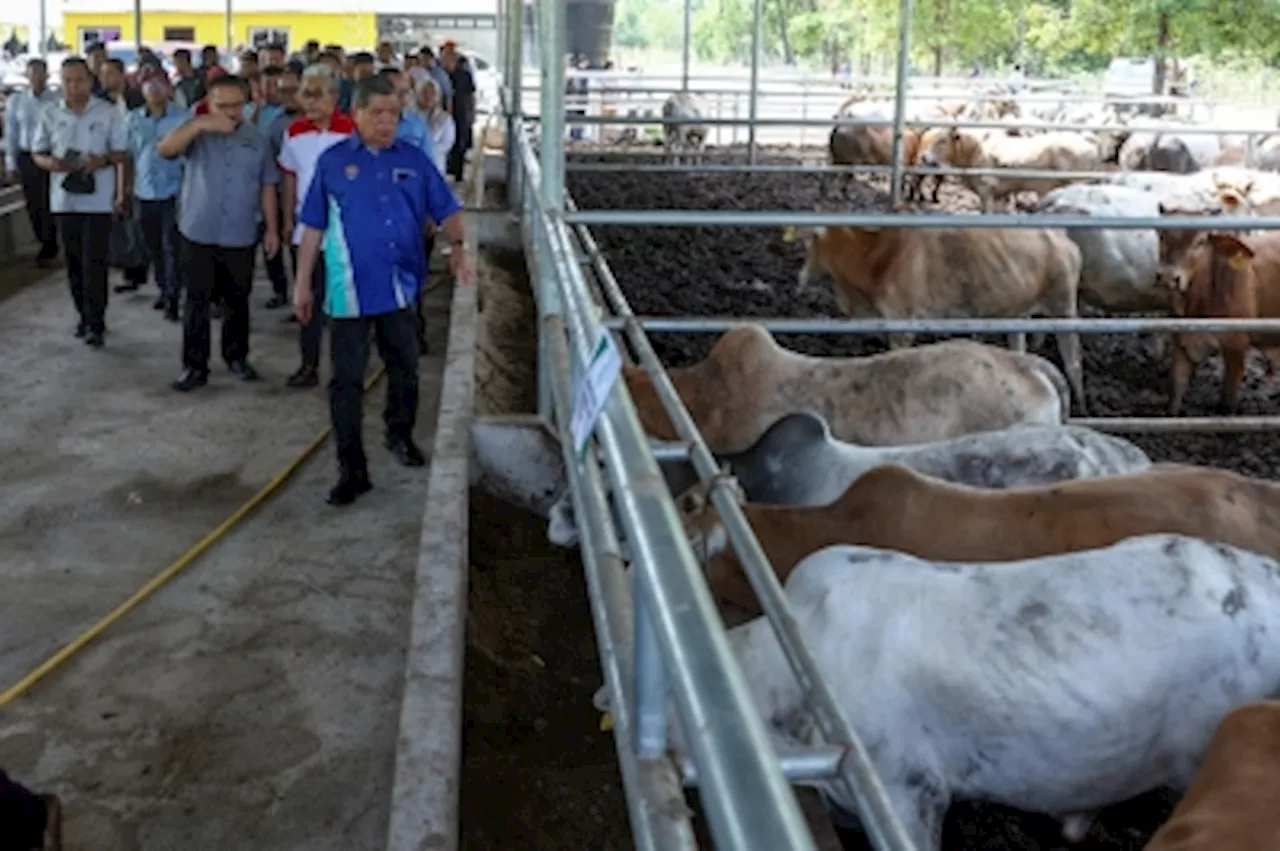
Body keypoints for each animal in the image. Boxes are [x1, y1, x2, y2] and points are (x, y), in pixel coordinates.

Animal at [788, 220, 1090, 409]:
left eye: (809, 242)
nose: (799, 279)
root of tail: (1065, 240)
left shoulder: (902, 324)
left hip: (1063, 306)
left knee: (1073, 357)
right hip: (1016, 314)